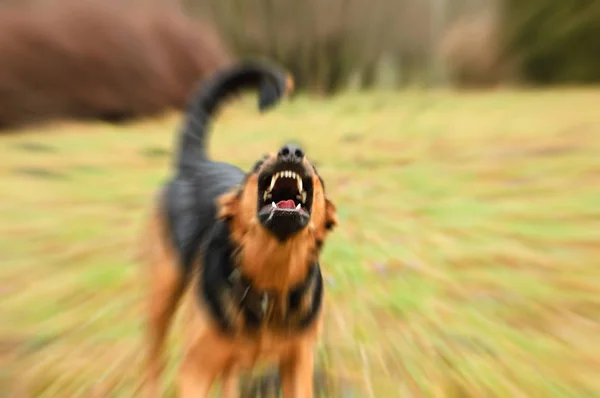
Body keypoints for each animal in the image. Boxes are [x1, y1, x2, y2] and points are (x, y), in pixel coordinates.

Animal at [142, 62, 338, 398]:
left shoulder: (298, 364)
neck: (273, 278)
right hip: (163, 291)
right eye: (259, 163)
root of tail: (194, 164)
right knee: (154, 356)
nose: (291, 150)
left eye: (316, 170)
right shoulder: (196, 370)